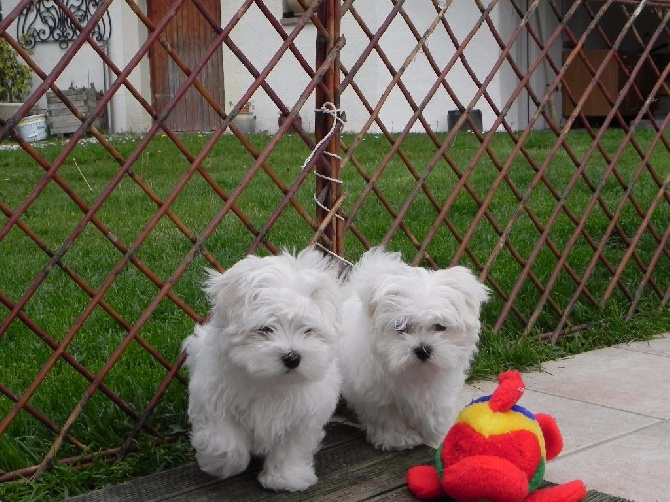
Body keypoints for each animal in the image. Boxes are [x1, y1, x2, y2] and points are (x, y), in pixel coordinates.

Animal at [182, 246, 342, 490]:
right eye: (265, 329)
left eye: (308, 330)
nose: (292, 357)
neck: (271, 382)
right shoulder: (213, 398)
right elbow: (224, 439)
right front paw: (221, 464)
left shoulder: (303, 415)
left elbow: (292, 448)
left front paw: (287, 478)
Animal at [342, 247, 488, 452]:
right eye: (402, 327)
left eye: (440, 326)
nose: (423, 350)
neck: (416, 372)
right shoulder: (377, 394)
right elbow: (388, 417)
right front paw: (398, 439)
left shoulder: (440, 387)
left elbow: (434, 411)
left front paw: (435, 434)